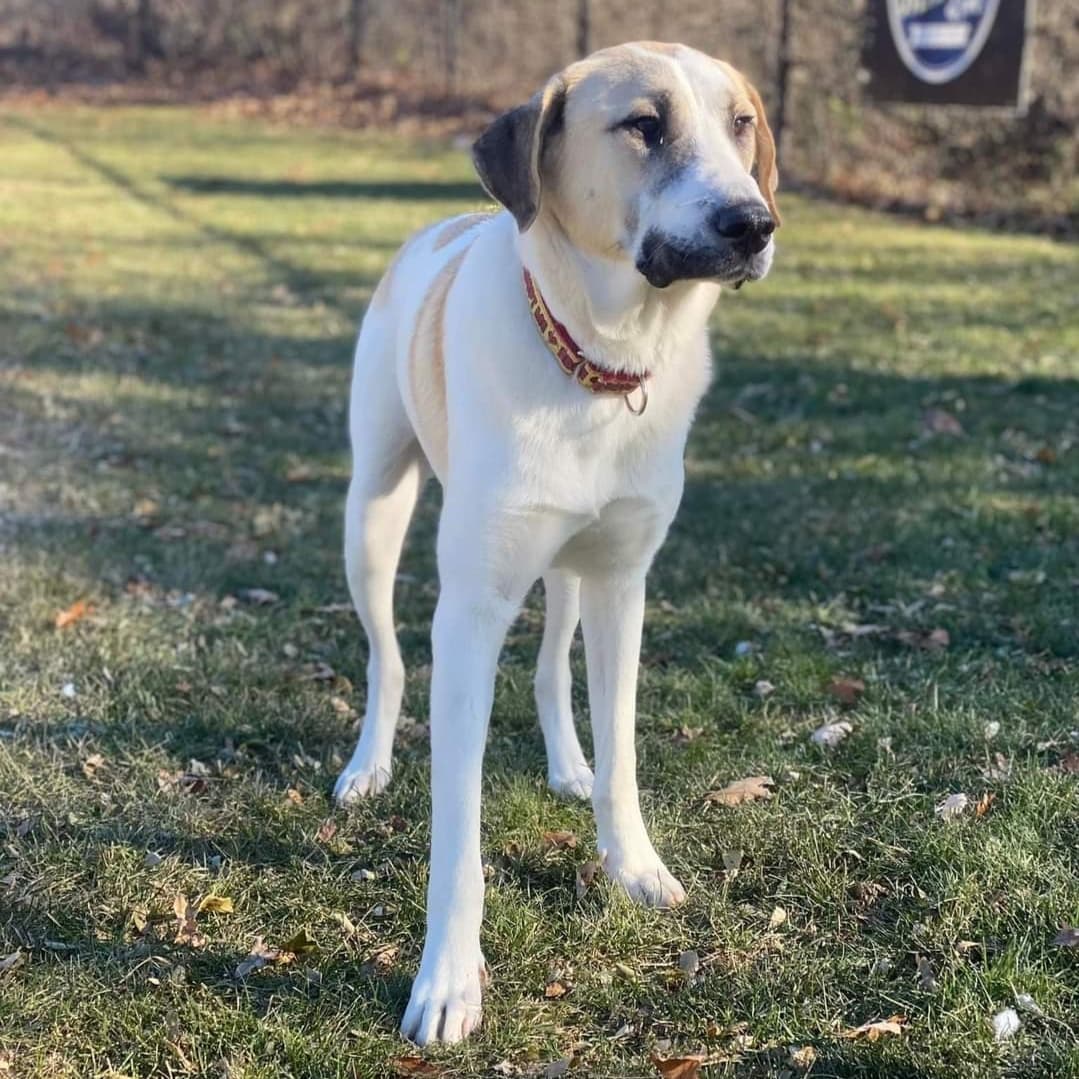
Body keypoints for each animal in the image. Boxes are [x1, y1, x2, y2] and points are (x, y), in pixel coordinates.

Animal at [332, 44, 781, 1044]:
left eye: (739, 123)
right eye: (644, 125)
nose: (753, 222)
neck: (597, 362)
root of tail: (443, 226)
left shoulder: (622, 584)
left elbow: (621, 749)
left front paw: (632, 863)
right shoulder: (468, 614)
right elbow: (457, 830)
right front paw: (448, 982)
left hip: (569, 571)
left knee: (548, 664)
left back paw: (566, 764)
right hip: (372, 512)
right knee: (386, 656)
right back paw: (367, 764)